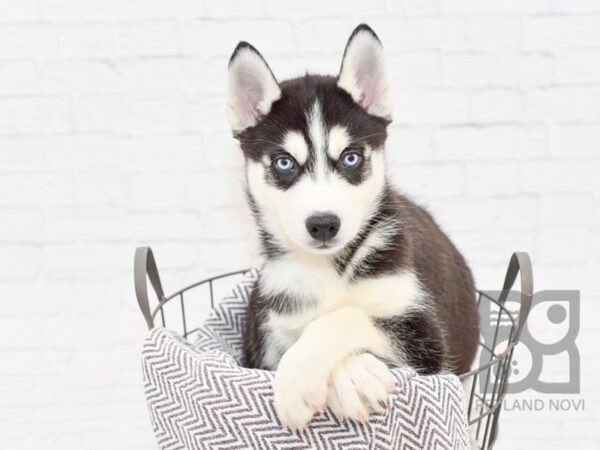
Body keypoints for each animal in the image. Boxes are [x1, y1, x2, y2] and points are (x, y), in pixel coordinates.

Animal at [224, 23, 478, 428]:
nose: (323, 225)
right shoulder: (268, 334)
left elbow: (345, 316)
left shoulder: (427, 341)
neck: (330, 269)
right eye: (283, 163)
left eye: (351, 157)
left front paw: (321, 375)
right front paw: (348, 374)